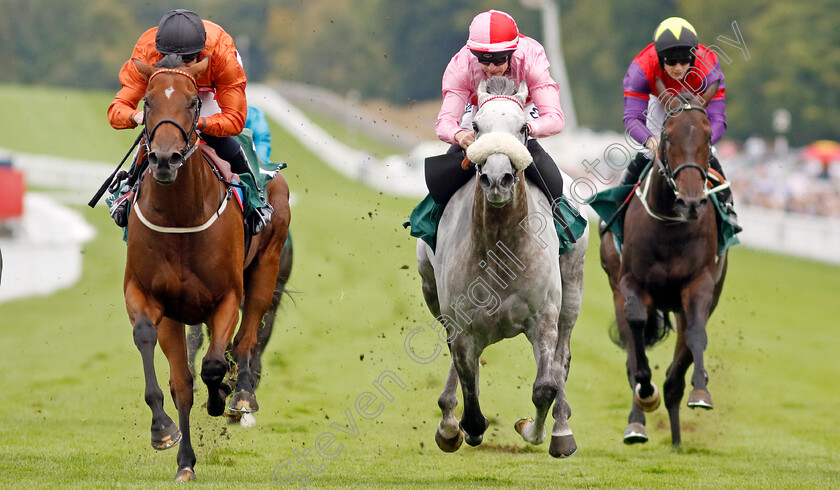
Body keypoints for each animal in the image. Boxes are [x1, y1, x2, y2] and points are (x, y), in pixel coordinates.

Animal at [121, 55, 292, 480]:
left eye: (193, 103)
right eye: (147, 102)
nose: (165, 159)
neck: (181, 216)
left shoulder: (226, 296)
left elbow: (215, 363)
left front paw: (222, 396)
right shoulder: (150, 297)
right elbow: (165, 364)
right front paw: (165, 433)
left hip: (267, 267)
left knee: (248, 336)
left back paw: (242, 394)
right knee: (188, 375)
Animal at [416, 75, 588, 456]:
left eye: (523, 127)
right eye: (476, 127)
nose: (497, 179)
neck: (500, 247)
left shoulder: (544, 316)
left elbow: (545, 386)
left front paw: (533, 430)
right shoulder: (461, 322)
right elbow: (468, 384)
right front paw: (460, 427)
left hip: (572, 288)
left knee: (563, 360)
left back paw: (562, 429)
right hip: (429, 285)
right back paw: (448, 422)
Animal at [604, 78, 728, 446]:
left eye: (708, 137)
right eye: (669, 136)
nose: (691, 202)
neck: (670, 226)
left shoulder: (700, 284)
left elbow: (697, 335)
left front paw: (701, 390)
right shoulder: (630, 283)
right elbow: (637, 336)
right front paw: (646, 392)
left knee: (678, 368)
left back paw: (675, 437)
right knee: (633, 354)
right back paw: (637, 422)